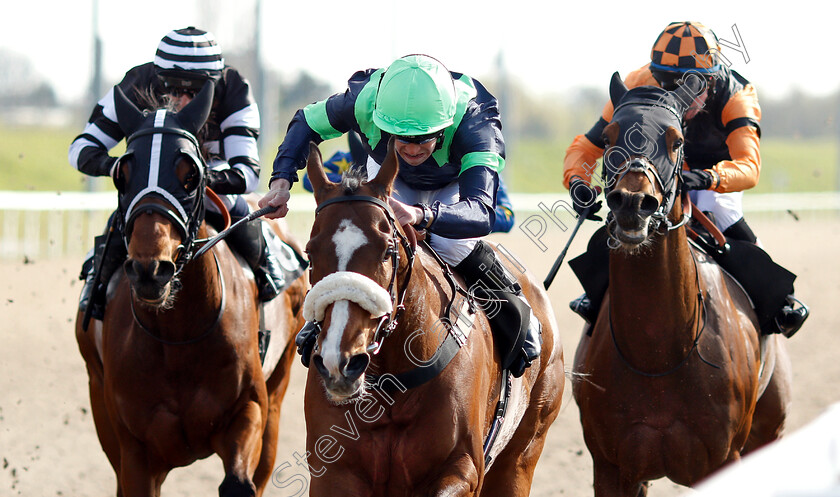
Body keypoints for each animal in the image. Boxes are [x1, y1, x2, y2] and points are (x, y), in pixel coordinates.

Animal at [75, 82, 308, 496]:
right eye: (122, 174)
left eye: (190, 175)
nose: (150, 269)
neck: (177, 336)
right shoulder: (134, 450)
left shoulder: (249, 410)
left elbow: (238, 482)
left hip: (278, 392)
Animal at [298, 140, 568, 496]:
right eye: (310, 253)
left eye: (388, 250)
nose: (338, 362)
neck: (395, 381)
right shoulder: (333, 472)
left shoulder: (463, 468)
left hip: (522, 454)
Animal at [572, 71, 796, 494]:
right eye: (608, 138)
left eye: (677, 141)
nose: (632, 203)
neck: (659, 354)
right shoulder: (611, 466)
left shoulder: (724, 460)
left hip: (768, 429)